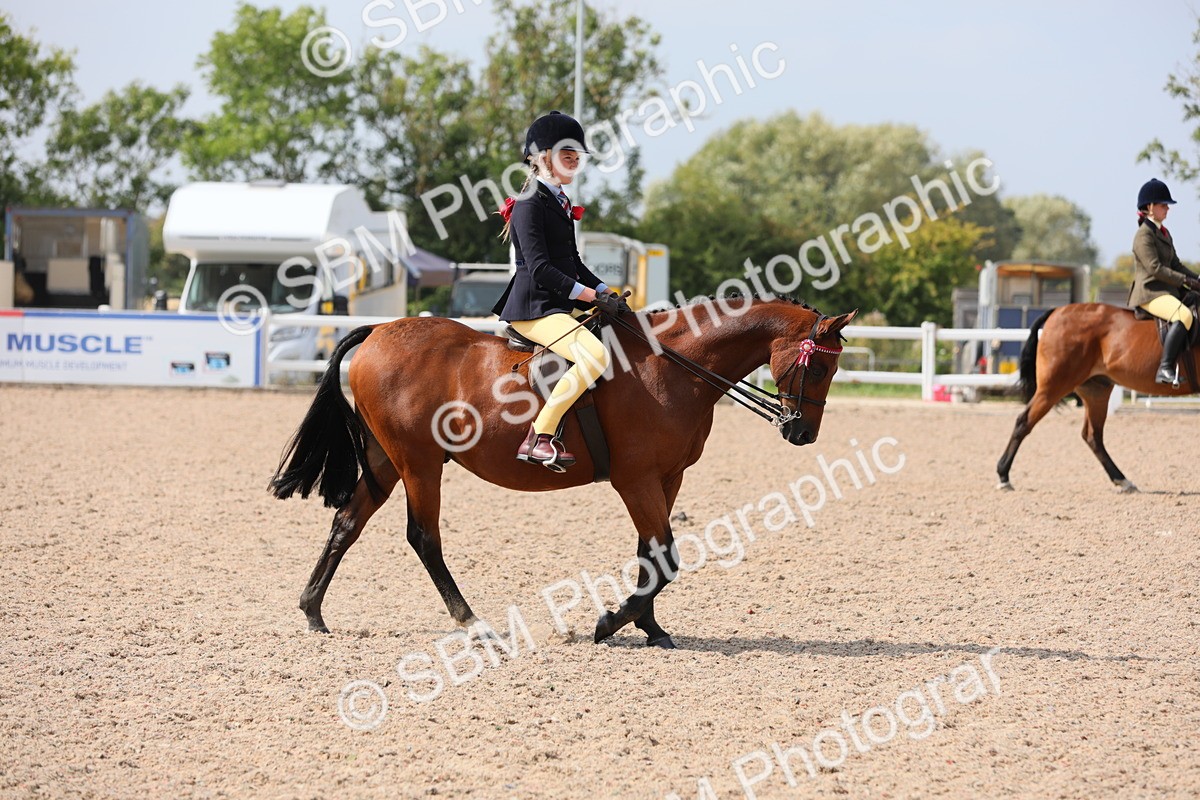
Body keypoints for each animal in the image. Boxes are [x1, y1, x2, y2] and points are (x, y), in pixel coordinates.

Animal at [270, 297, 857, 648]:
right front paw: (609, 623)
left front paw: (650, 627)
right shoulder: (635, 479)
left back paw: (313, 611)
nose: (802, 433)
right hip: (418, 462)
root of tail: (377, 332)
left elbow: (652, 553)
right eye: (820, 366)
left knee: (347, 524)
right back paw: (473, 622)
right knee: (423, 537)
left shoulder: (667, 478)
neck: (669, 366)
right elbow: (666, 557)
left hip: (385, 460)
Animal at [996, 303, 1198, 492]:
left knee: (1093, 435)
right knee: (1024, 422)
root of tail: (1057, 311)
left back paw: (1122, 480)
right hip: (1053, 387)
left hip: (1096, 391)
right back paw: (1003, 476)